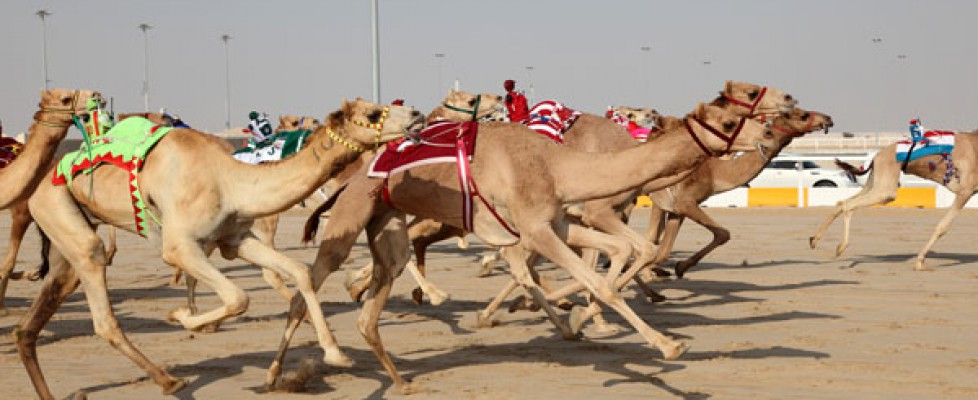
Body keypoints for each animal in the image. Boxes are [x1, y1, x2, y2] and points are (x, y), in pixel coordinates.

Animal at [12, 98, 424, 398]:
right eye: (373, 113)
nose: (418, 115)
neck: (231, 180)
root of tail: (42, 179)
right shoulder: (180, 246)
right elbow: (238, 297)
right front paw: (183, 317)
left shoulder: (234, 239)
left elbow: (300, 272)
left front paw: (335, 353)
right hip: (59, 212)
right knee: (101, 304)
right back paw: (171, 380)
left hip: (66, 239)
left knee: (32, 322)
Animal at [266, 101, 776, 394]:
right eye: (731, 118)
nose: (769, 134)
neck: (558, 164)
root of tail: (350, 173)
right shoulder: (535, 230)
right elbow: (601, 282)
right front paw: (668, 345)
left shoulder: (557, 223)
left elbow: (616, 253)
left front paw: (576, 320)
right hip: (351, 215)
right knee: (309, 286)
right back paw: (281, 373)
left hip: (386, 225)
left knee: (371, 306)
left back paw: (399, 380)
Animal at [808, 133, 976, 270]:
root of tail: (876, 157)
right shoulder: (965, 191)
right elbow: (943, 227)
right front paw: (919, 262)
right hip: (886, 188)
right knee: (849, 205)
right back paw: (840, 248)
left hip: (874, 181)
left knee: (841, 202)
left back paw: (814, 240)